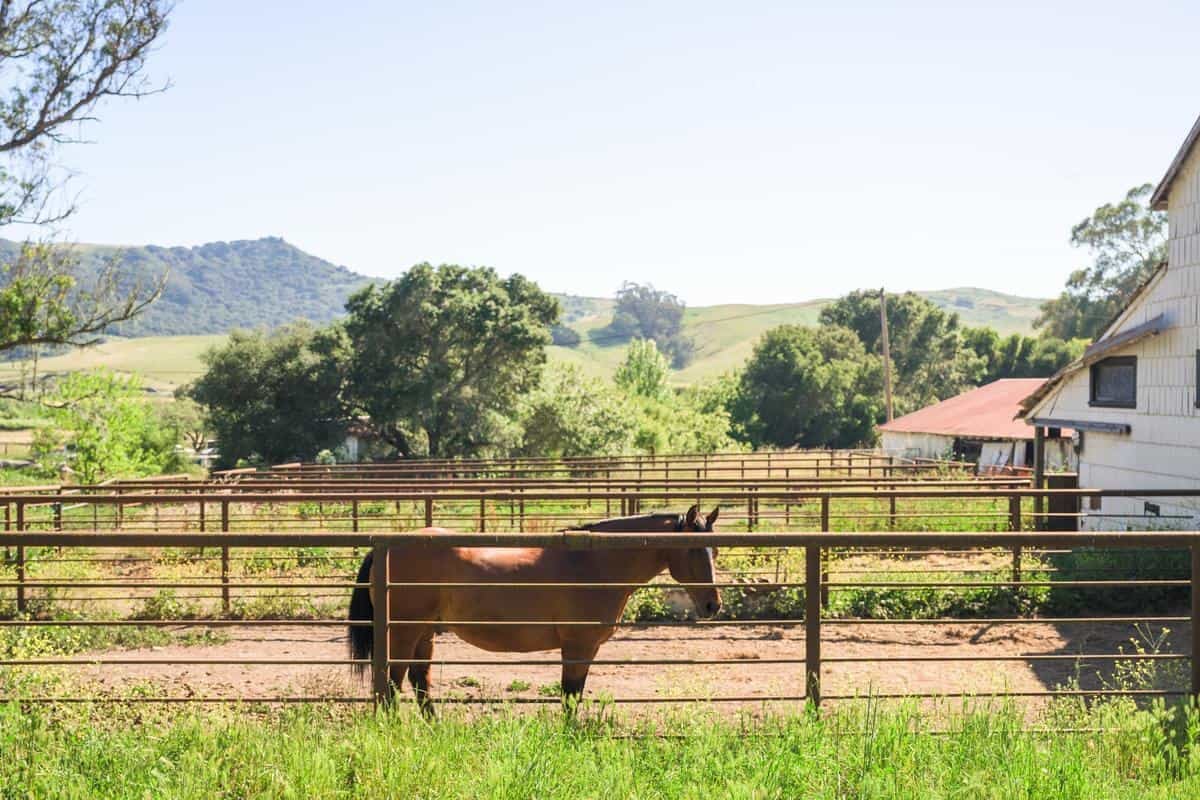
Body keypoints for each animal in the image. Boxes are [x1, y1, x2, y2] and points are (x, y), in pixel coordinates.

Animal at [347, 505, 721, 713]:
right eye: (692, 550)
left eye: (714, 550)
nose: (712, 605)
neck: (593, 563)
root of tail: (385, 548)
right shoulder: (578, 646)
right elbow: (570, 696)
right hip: (404, 633)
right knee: (392, 685)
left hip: (424, 634)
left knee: (418, 682)